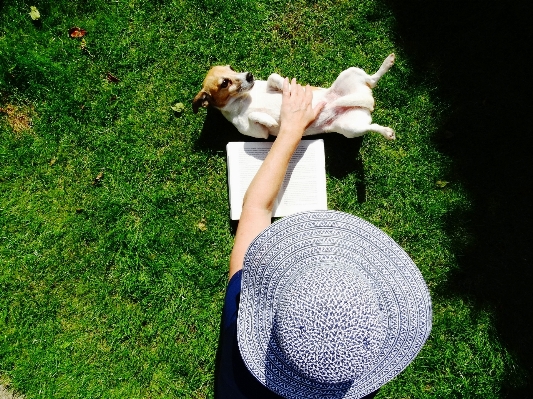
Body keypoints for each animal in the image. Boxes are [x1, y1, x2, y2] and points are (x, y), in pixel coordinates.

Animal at [192, 53, 394, 141]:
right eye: (224, 83)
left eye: (232, 68)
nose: (249, 76)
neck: (244, 99)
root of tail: (366, 103)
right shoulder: (257, 133)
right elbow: (255, 118)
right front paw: (270, 121)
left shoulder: (267, 82)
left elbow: (273, 76)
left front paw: (286, 86)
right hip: (350, 128)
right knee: (371, 126)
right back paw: (387, 132)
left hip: (350, 73)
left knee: (372, 79)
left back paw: (387, 62)